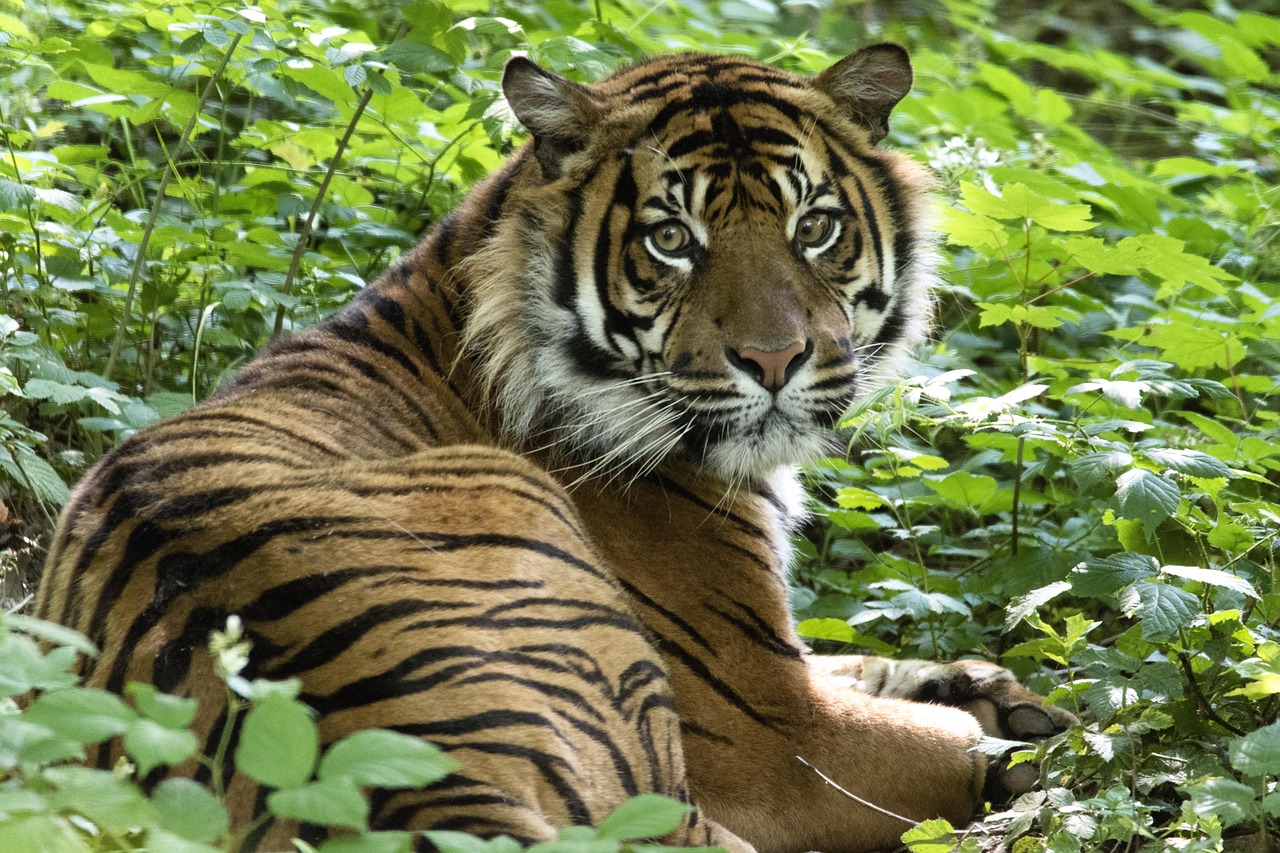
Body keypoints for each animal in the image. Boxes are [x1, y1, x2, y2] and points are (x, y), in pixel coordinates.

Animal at [36, 44, 1074, 852]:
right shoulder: (777, 728)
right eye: (672, 239)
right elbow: (940, 736)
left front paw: (988, 685)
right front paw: (1021, 730)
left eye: (814, 227)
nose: (776, 360)